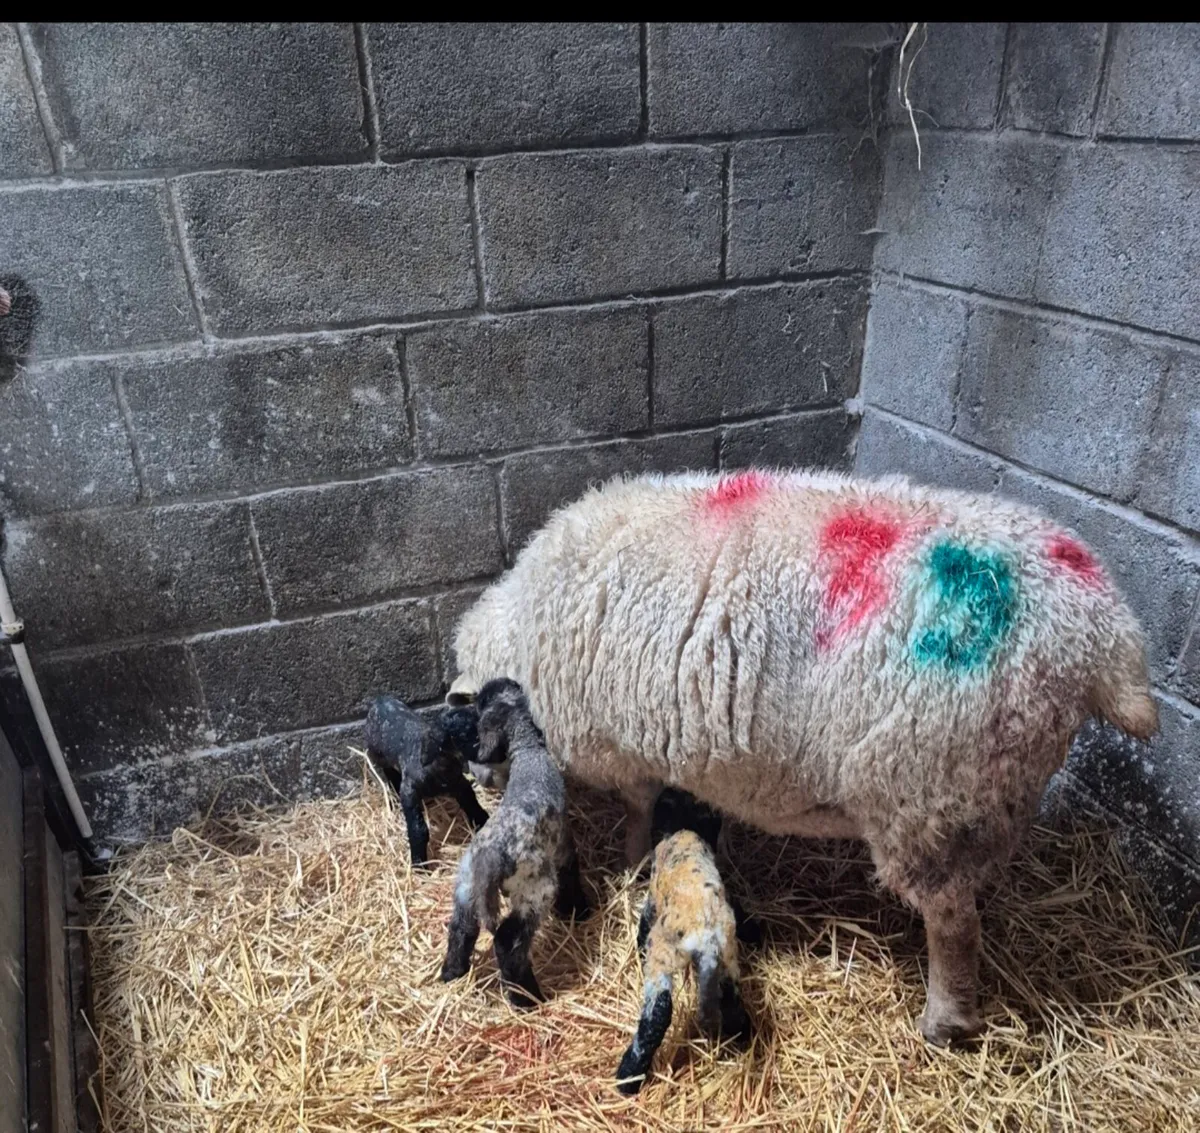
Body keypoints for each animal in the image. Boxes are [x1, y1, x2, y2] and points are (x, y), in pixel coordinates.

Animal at [363, 695, 489, 870]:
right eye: (464, 736)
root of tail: (379, 699)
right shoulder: (409, 790)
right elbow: (418, 828)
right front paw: (419, 865)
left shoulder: (459, 783)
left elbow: (473, 805)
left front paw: (485, 824)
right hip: (378, 756)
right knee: (390, 774)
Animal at [439, 677, 591, 1008]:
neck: (528, 753)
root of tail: (488, 860)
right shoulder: (562, 843)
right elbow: (571, 872)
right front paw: (579, 909)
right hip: (533, 889)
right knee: (508, 941)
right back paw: (527, 999)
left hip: (466, 887)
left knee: (461, 928)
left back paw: (451, 972)